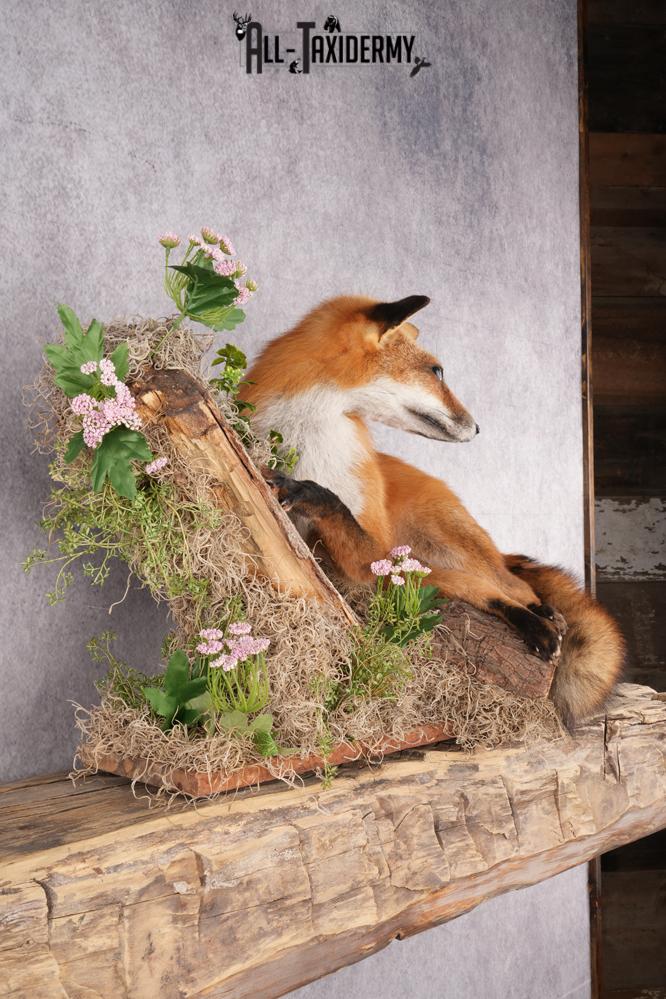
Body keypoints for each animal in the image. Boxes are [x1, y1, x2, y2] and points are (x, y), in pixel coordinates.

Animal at [240, 294, 625, 727]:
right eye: (437, 371)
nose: (478, 429)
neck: (310, 445)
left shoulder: (372, 552)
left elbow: (334, 504)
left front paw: (306, 490)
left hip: (448, 545)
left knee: (514, 585)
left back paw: (539, 613)